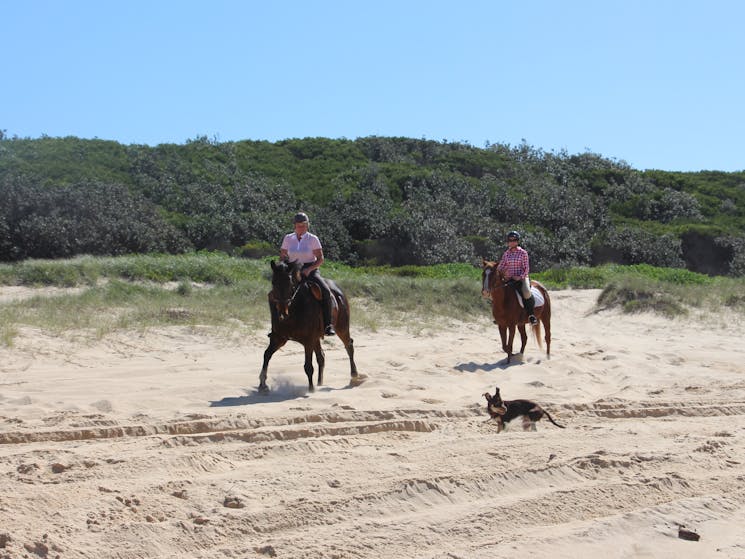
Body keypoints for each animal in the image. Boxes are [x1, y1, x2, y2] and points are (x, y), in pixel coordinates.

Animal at [258, 262, 358, 394]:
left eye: (290, 283)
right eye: (273, 282)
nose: (282, 311)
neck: (294, 311)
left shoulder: (308, 340)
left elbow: (308, 366)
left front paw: (310, 389)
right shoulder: (278, 338)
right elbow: (266, 355)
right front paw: (262, 385)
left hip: (342, 328)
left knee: (349, 346)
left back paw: (354, 375)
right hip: (316, 338)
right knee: (321, 356)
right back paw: (320, 382)